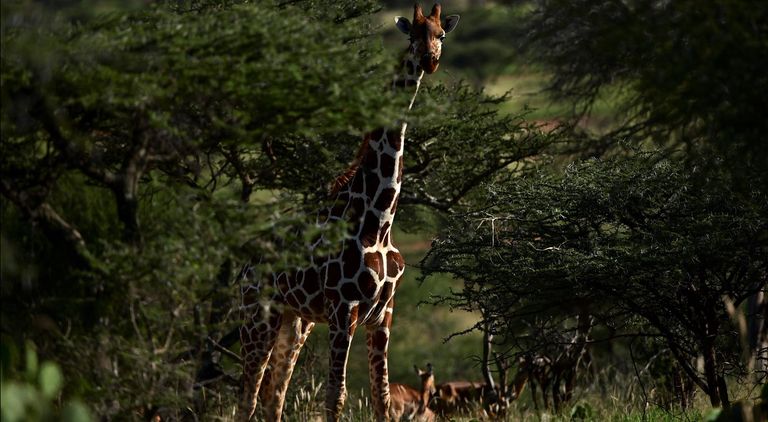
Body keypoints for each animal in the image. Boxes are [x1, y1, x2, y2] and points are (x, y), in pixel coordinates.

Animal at [239, 4, 459, 421]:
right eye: (413, 34)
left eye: (441, 34)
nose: (430, 60)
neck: (379, 221)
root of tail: (244, 263)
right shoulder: (345, 310)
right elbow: (335, 394)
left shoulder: (383, 315)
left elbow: (382, 396)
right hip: (258, 311)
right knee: (249, 390)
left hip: (296, 320)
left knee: (275, 391)